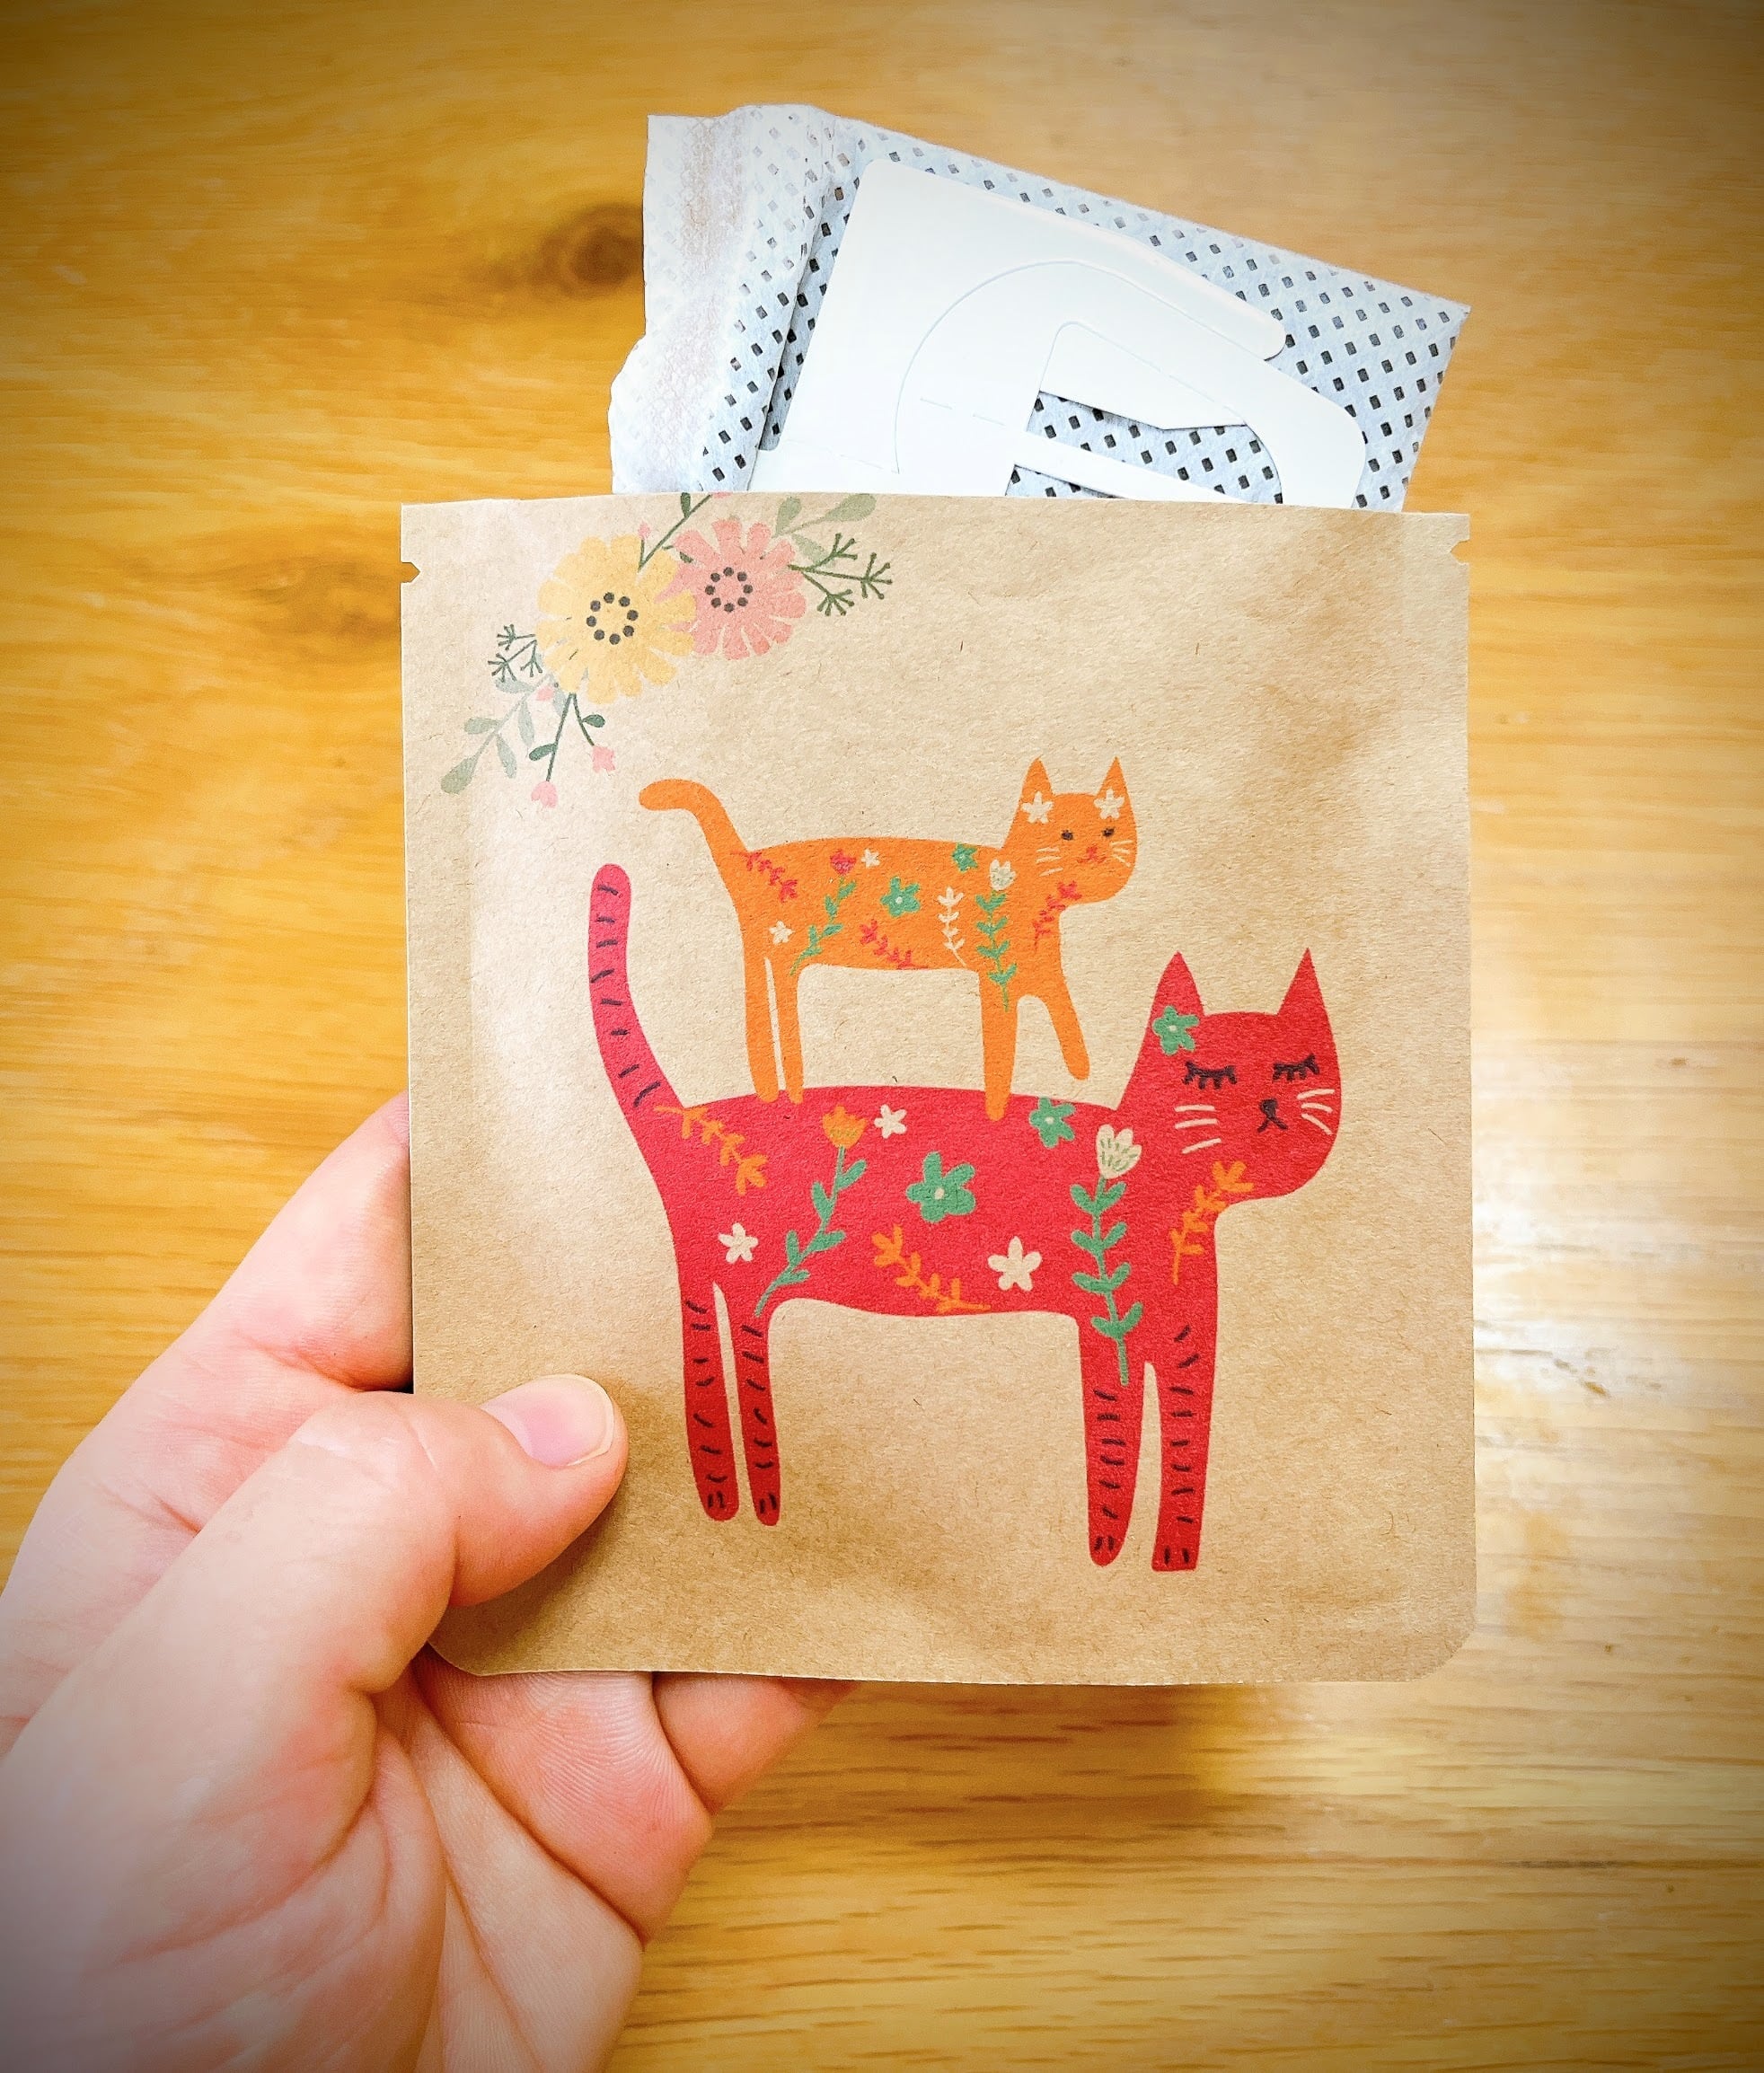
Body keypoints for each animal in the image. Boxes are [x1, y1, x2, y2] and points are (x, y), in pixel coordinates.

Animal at [590, 863, 1340, 1571]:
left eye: (1297, 1069)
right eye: (1209, 1078)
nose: (1270, 1105)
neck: (1181, 1212)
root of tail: (696, 1116)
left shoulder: (1186, 1352)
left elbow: (1184, 1455)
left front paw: (1171, 1559)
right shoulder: (1108, 1333)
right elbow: (1114, 1442)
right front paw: (1107, 1548)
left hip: (725, 1281)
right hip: (741, 1279)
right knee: (721, 1376)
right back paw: (742, 1497)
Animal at [638, 759, 1136, 1120]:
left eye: (1109, 830)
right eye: (1064, 834)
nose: (1095, 851)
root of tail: (751, 857)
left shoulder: (1042, 975)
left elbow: (1067, 1018)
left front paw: (1080, 1070)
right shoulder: (997, 982)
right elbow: (1001, 1054)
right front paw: (997, 1112)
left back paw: (773, 1092)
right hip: (783, 954)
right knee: (773, 1020)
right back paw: (788, 1094)